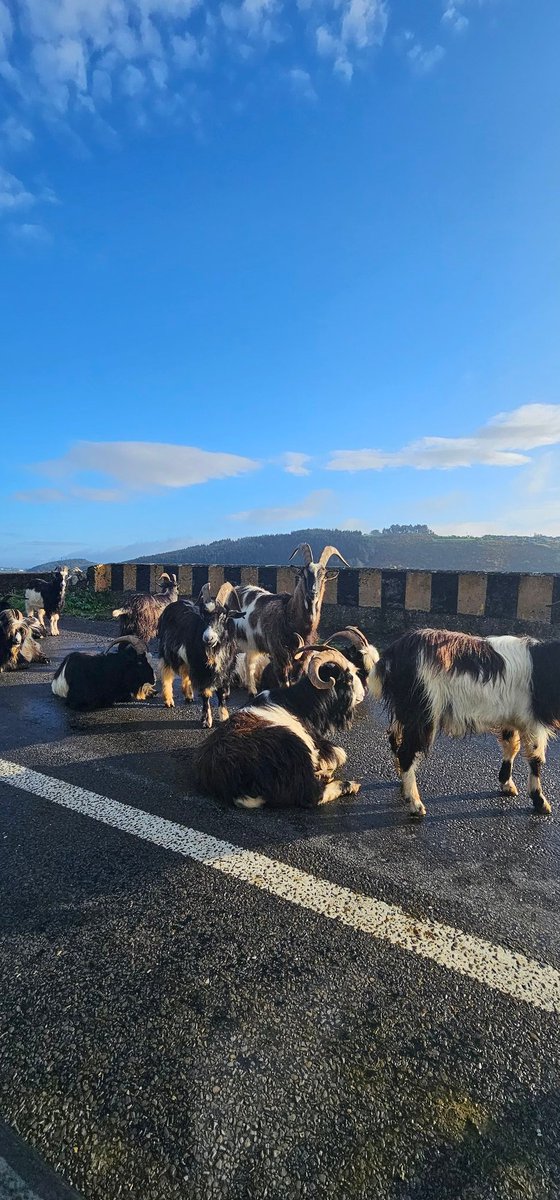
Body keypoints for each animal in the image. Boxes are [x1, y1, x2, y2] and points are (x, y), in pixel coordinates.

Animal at [159, 578, 243, 720]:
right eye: (203, 615)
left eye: (223, 616)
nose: (208, 638)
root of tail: (174, 604)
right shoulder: (201, 670)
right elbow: (206, 693)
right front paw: (206, 719)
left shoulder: (224, 669)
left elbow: (221, 692)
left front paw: (224, 716)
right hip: (167, 651)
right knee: (167, 672)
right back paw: (168, 700)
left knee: (185, 671)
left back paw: (188, 696)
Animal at [195, 648, 366, 806]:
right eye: (349, 678)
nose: (363, 694)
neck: (301, 702)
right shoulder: (317, 742)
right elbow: (340, 755)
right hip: (294, 746)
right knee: (310, 794)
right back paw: (348, 784)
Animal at [233, 544, 350, 696]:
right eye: (303, 574)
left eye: (323, 575)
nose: (313, 592)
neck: (288, 615)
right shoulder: (279, 655)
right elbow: (284, 683)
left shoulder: (303, 657)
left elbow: (295, 680)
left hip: (252, 642)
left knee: (249, 661)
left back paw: (252, 690)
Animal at [369, 628, 560, 816]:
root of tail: (391, 655)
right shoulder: (533, 721)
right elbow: (536, 758)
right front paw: (541, 803)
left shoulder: (511, 716)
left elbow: (511, 746)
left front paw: (507, 784)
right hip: (422, 711)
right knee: (406, 752)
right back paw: (416, 805)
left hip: (404, 712)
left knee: (394, 739)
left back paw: (403, 786)